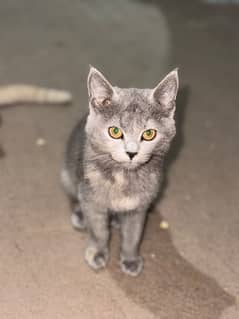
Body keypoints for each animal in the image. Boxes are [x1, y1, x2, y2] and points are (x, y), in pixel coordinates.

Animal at [61, 65, 179, 278]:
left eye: (149, 134)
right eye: (115, 132)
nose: (131, 152)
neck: (124, 177)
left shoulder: (140, 206)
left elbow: (133, 234)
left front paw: (130, 259)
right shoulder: (91, 198)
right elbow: (98, 230)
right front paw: (97, 252)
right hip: (68, 177)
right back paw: (81, 216)